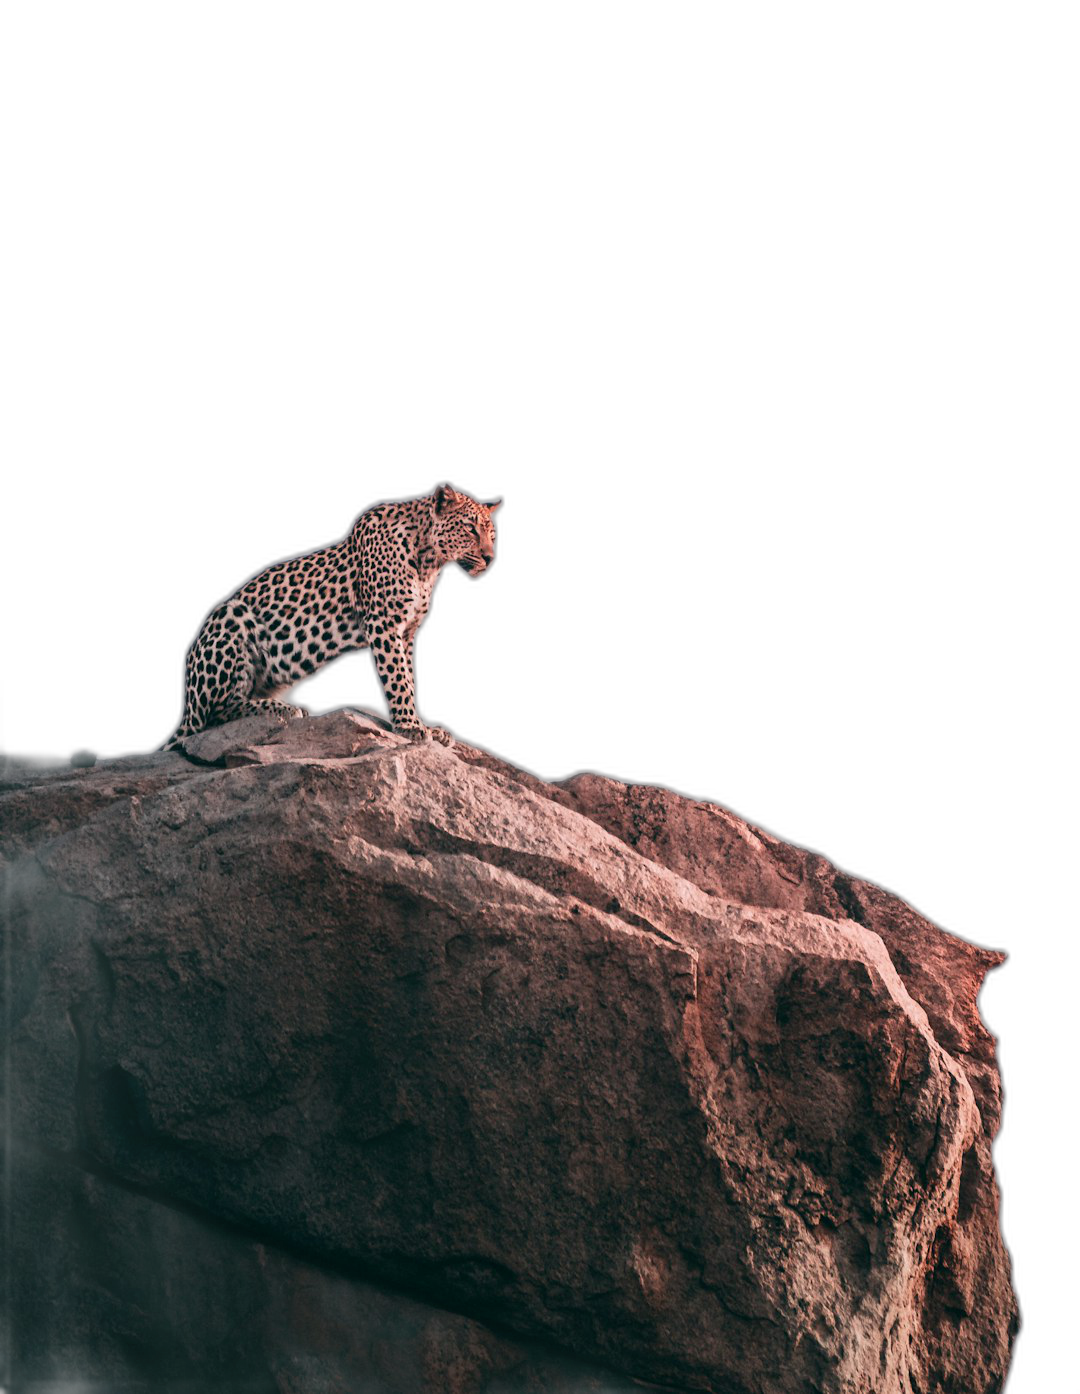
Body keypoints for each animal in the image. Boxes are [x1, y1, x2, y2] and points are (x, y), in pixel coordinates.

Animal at [159, 487, 501, 752]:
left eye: (492, 534)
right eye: (470, 529)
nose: (489, 558)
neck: (429, 560)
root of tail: (186, 705)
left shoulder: (405, 632)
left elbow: (408, 678)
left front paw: (423, 726)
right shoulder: (384, 624)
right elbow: (397, 679)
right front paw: (410, 726)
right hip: (230, 617)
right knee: (214, 715)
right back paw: (285, 710)